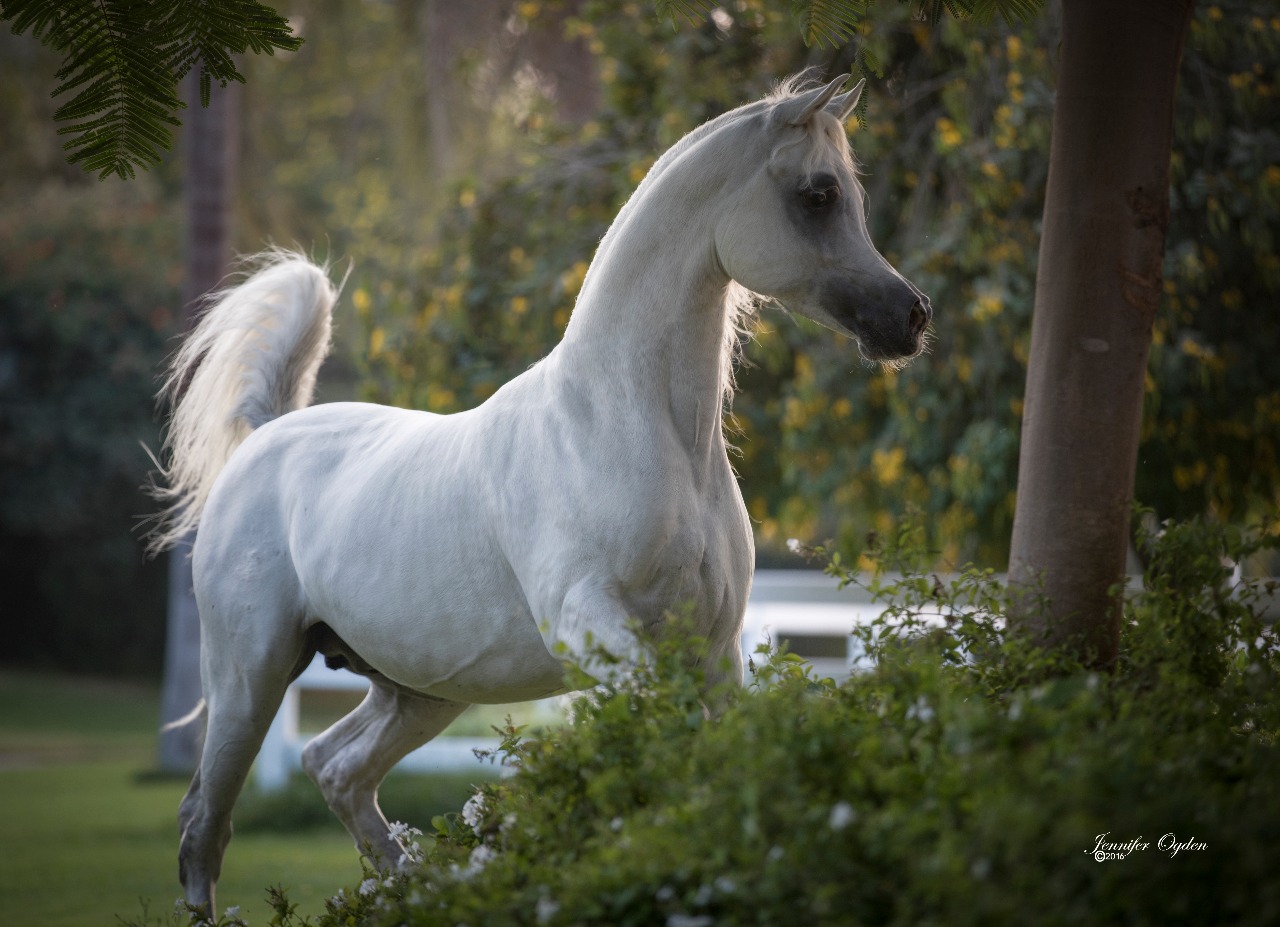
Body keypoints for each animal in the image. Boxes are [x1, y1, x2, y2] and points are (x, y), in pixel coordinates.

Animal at [152, 74, 931, 911]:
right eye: (819, 194)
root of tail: (264, 440)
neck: (629, 427)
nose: (911, 316)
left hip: (416, 689)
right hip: (250, 677)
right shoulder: (596, 630)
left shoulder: (717, 647)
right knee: (203, 824)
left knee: (335, 768)